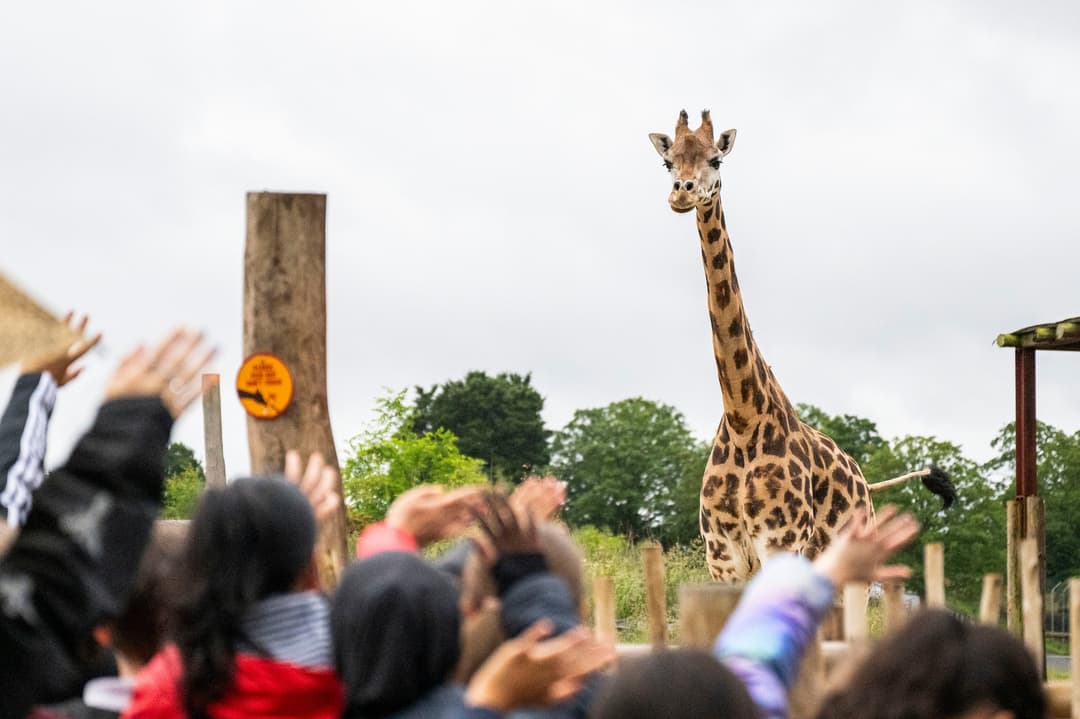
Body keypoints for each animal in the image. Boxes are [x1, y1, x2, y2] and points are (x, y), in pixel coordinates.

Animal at [648, 110, 955, 582]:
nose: (681, 193)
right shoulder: (723, 557)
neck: (742, 418)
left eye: (716, 160)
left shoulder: (781, 543)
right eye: (669, 163)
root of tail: (863, 481)